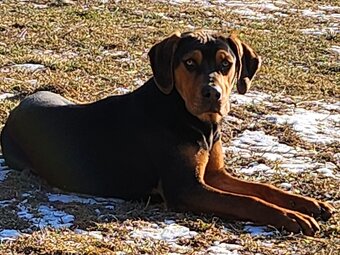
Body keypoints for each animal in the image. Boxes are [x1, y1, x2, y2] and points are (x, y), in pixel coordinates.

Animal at [0, 29, 334, 235]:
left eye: (227, 64)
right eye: (189, 63)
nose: (213, 93)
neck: (192, 119)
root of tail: (18, 108)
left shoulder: (214, 174)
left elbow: (264, 189)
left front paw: (307, 204)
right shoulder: (185, 188)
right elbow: (247, 201)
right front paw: (292, 218)